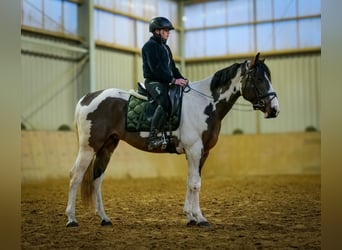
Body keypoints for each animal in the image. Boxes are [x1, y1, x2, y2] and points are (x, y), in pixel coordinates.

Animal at [65, 53, 280, 229]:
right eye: (259, 79)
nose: (274, 109)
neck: (205, 103)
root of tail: (87, 98)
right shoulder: (194, 150)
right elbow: (195, 184)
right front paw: (200, 218)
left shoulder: (202, 153)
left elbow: (191, 181)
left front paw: (190, 217)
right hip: (88, 148)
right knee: (76, 176)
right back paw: (71, 219)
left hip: (107, 147)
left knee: (97, 179)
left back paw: (104, 218)